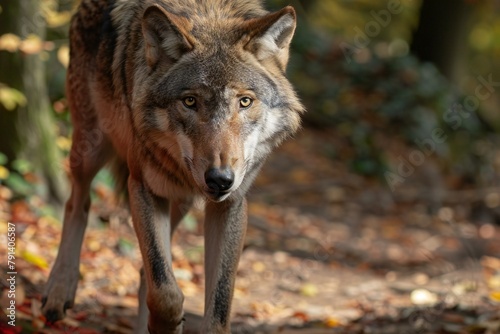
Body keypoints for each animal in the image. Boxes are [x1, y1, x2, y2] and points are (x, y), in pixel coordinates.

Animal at [41, 0, 302, 332]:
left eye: (245, 101)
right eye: (190, 101)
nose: (220, 179)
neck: (209, 14)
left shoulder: (230, 204)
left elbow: (217, 307)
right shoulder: (143, 187)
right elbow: (165, 293)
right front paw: (167, 323)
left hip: (180, 201)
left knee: (144, 272)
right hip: (91, 148)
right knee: (76, 202)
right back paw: (59, 290)